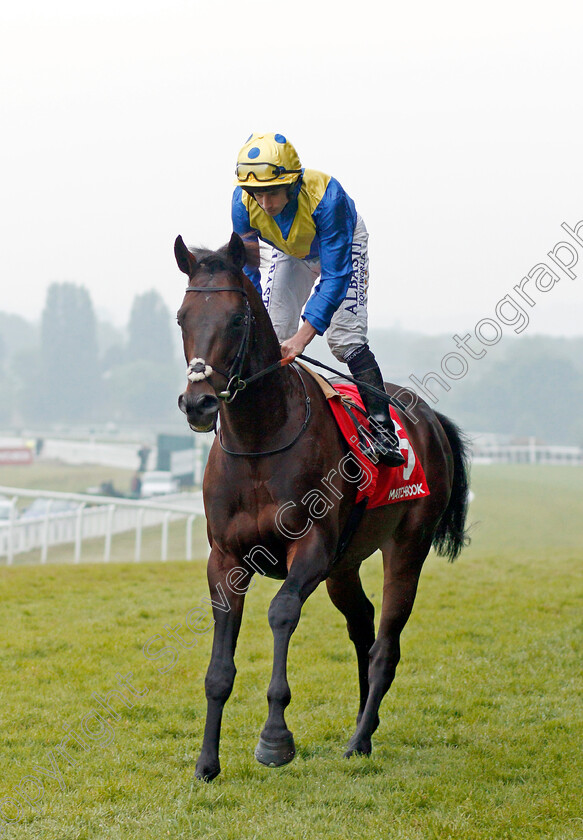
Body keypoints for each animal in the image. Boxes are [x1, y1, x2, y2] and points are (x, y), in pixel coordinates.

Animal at [173, 231, 470, 780]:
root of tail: (429, 417)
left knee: (386, 644)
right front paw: (206, 762)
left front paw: (274, 739)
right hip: (344, 564)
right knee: (363, 625)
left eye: (237, 319)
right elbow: (219, 668)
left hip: (407, 547)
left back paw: (359, 739)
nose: (198, 403)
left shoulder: (309, 548)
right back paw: (364, 729)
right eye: (182, 317)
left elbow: (281, 611)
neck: (260, 440)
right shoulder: (225, 559)